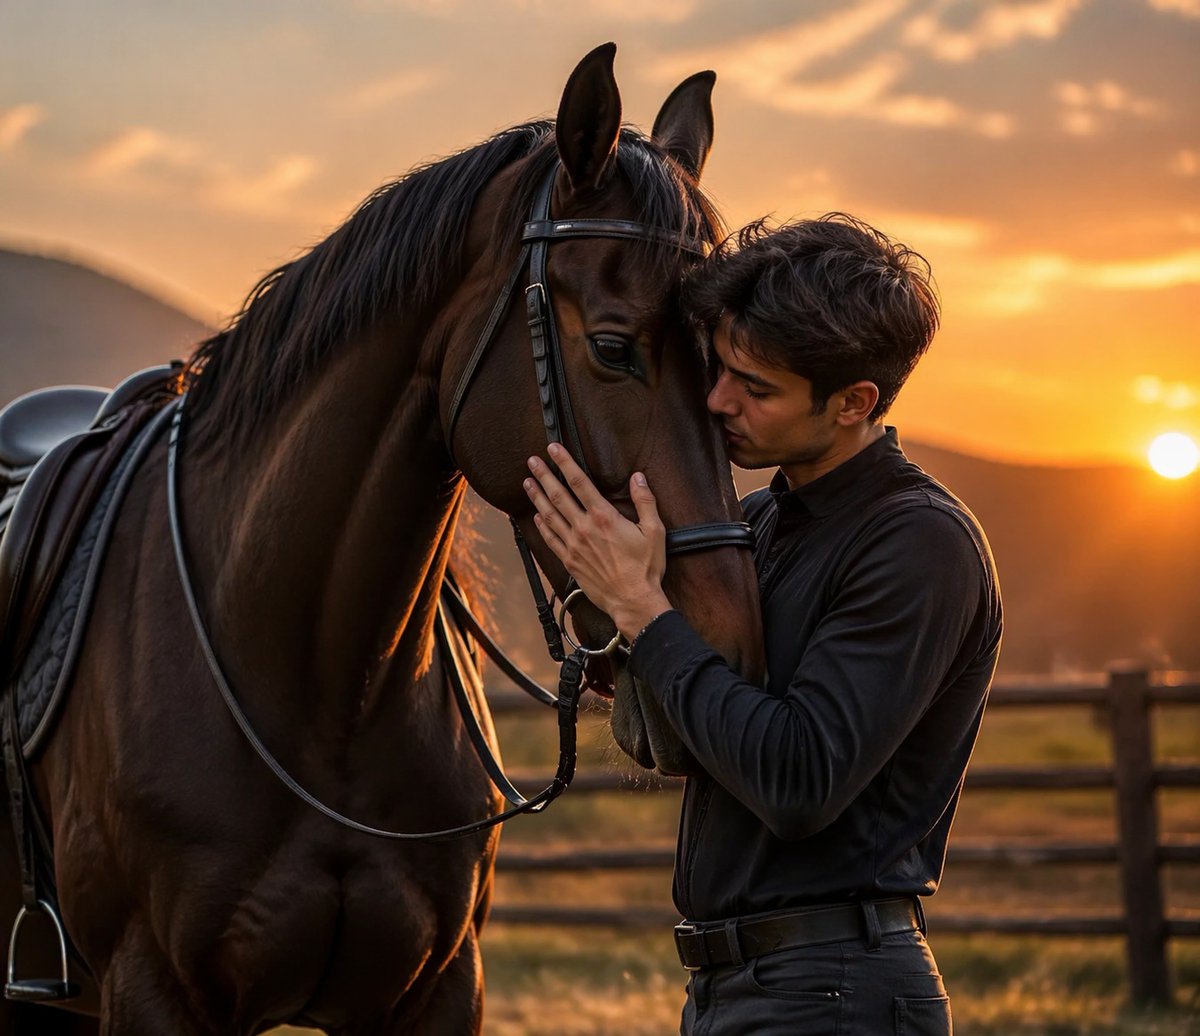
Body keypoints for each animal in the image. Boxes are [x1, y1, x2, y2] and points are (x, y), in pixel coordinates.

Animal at [0, 44, 763, 1034]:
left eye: (728, 373)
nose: (734, 651)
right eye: (611, 347)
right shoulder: (150, 991)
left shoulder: (436, 990)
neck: (323, 692)